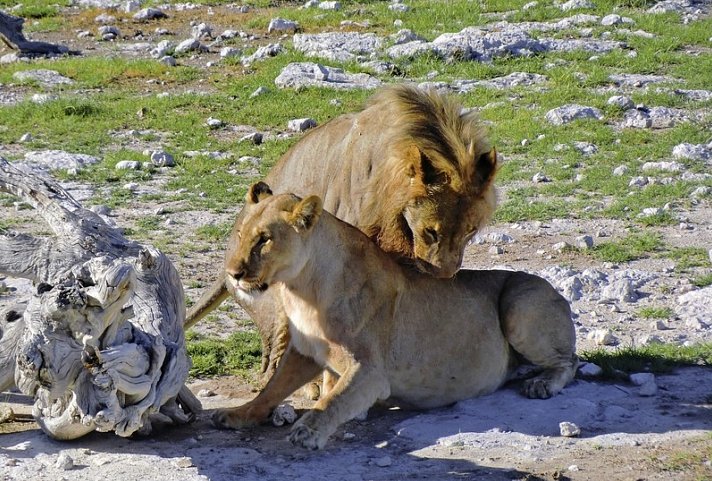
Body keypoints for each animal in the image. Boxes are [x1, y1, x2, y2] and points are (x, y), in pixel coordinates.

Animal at [214, 182, 580, 448]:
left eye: (264, 240)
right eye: (240, 234)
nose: (233, 273)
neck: (301, 291)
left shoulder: (371, 371)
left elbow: (332, 401)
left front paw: (309, 431)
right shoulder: (304, 353)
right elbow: (271, 389)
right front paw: (236, 414)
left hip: (519, 302)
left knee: (570, 361)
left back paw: (541, 384)